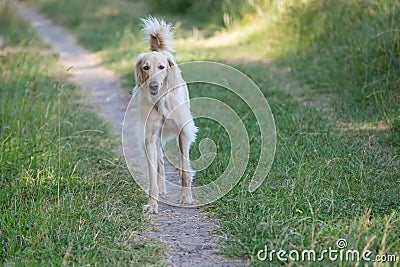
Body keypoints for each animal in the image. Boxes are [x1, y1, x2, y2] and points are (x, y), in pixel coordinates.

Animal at [134, 16, 198, 214]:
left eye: (162, 67)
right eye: (146, 67)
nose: (154, 86)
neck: (161, 100)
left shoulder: (183, 132)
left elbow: (185, 168)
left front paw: (186, 197)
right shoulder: (149, 137)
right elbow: (153, 173)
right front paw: (153, 204)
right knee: (160, 164)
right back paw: (161, 188)